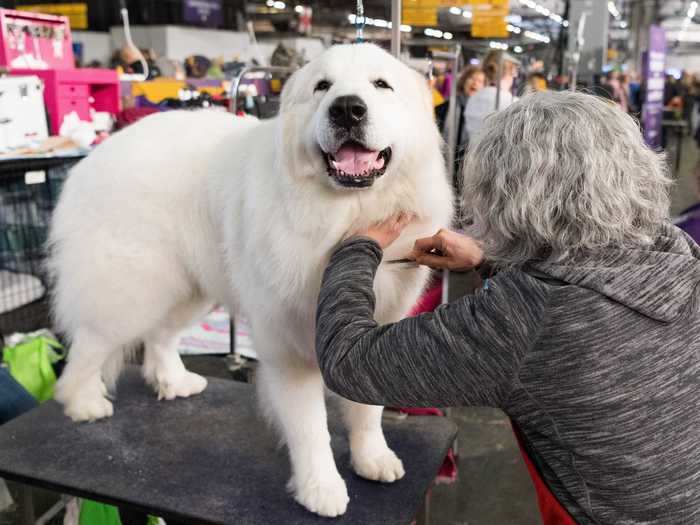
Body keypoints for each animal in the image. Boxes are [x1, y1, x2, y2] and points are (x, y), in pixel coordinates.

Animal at [49, 42, 454, 516]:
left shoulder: (371, 332)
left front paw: (373, 458)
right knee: (89, 345)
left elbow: (366, 410)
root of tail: (95, 157)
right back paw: (82, 402)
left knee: (159, 338)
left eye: (381, 85)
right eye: (322, 87)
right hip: (133, 290)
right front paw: (321, 488)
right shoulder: (289, 350)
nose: (347, 109)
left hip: (187, 289)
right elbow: (310, 428)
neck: (342, 217)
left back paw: (174, 382)